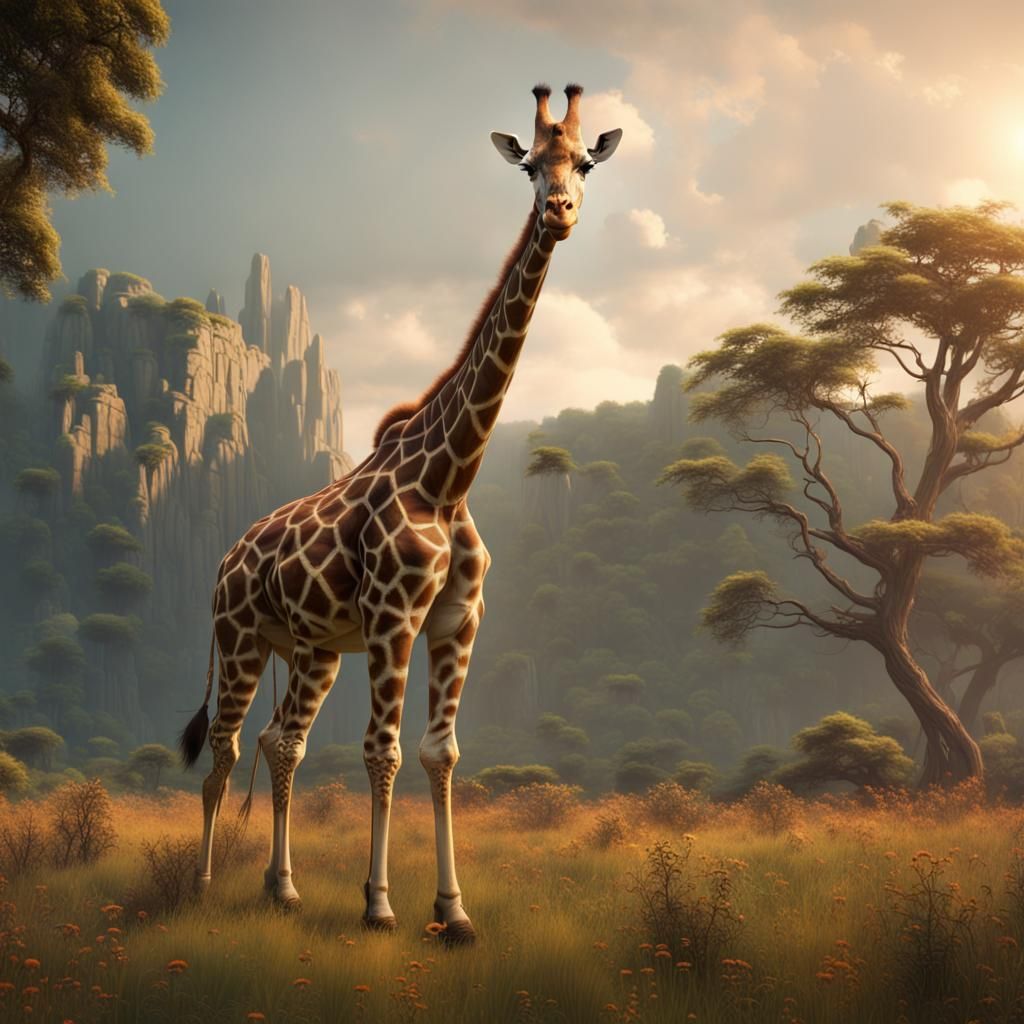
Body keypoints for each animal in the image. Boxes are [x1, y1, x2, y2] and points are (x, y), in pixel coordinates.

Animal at [179, 83, 621, 943]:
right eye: (528, 166)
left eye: (585, 162)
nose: (558, 212)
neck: (448, 478)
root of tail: (223, 561)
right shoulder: (393, 619)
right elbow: (381, 749)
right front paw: (379, 905)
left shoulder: (457, 622)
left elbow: (440, 753)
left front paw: (455, 913)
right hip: (241, 636)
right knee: (224, 748)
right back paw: (207, 883)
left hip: (311, 647)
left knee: (283, 741)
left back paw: (281, 888)